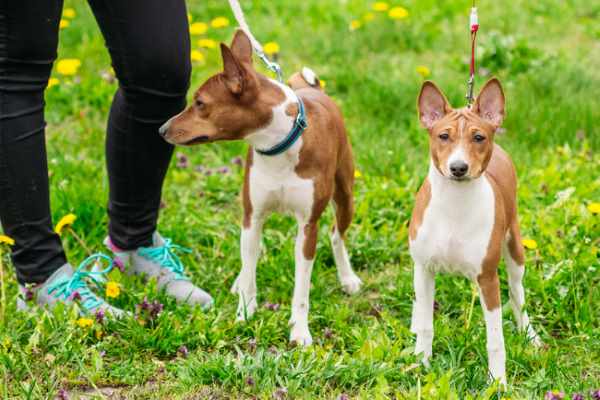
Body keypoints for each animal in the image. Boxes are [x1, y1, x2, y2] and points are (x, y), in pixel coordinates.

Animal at [158, 31, 360, 346]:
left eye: (200, 103)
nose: (162, 130)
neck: (279, 146)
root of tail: (313, 88)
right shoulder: (252, 216)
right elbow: (250, 273)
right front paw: (243, 314)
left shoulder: (308, 227)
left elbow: (301, 291)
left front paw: (299, 331)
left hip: (345, 197)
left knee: (337, 236)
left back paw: (347, 277)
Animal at [410, 79, 540, 384]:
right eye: (443, 136)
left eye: (478, 137)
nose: (458, 167)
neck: (455, 205)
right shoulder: (423, 268)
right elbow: (426, 325)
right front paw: (422, 363)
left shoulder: (488, 278)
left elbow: (496, 340)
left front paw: (498, 382)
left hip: (514, 248)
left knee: (517, 294)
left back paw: (530, 335)